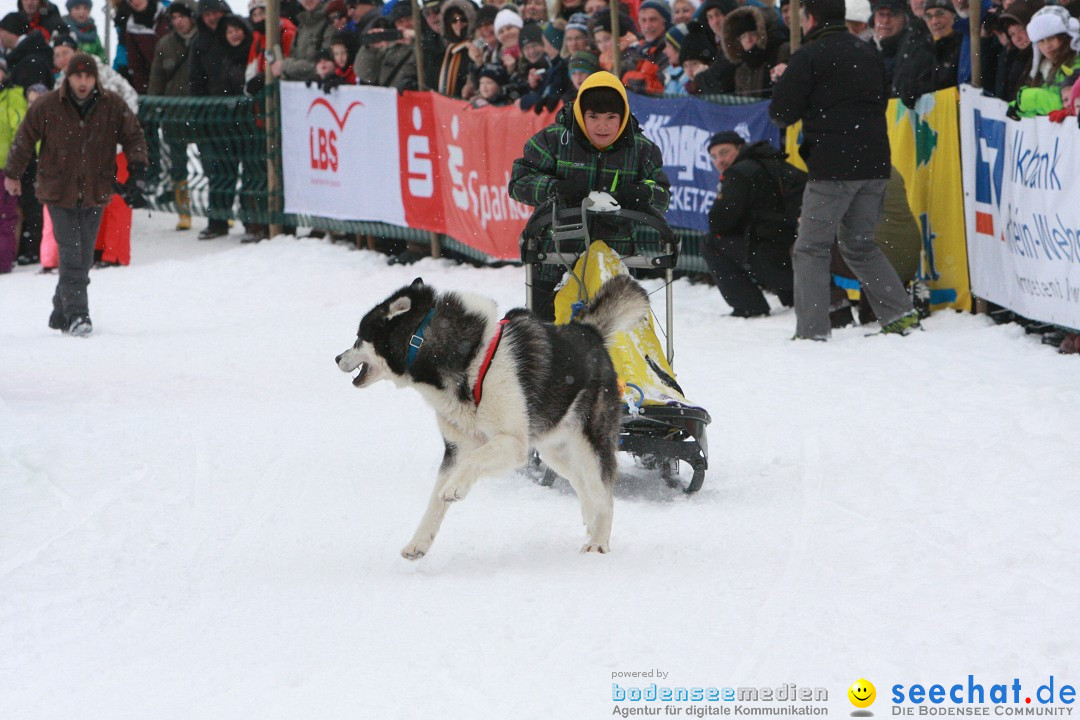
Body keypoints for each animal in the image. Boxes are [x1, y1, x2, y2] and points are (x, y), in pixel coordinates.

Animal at [332, 273, 648, 561]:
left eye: (359, 337)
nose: (336, 358)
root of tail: (588, 332)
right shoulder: (456, 449)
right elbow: (435, 500)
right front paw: (418, 543)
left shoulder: (511, 443)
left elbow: (471, 463)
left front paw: (456, 487)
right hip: (553, 449)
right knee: (582, 485)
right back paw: (591, 523)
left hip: (589, 444)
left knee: (604, 494)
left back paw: (599, 542)